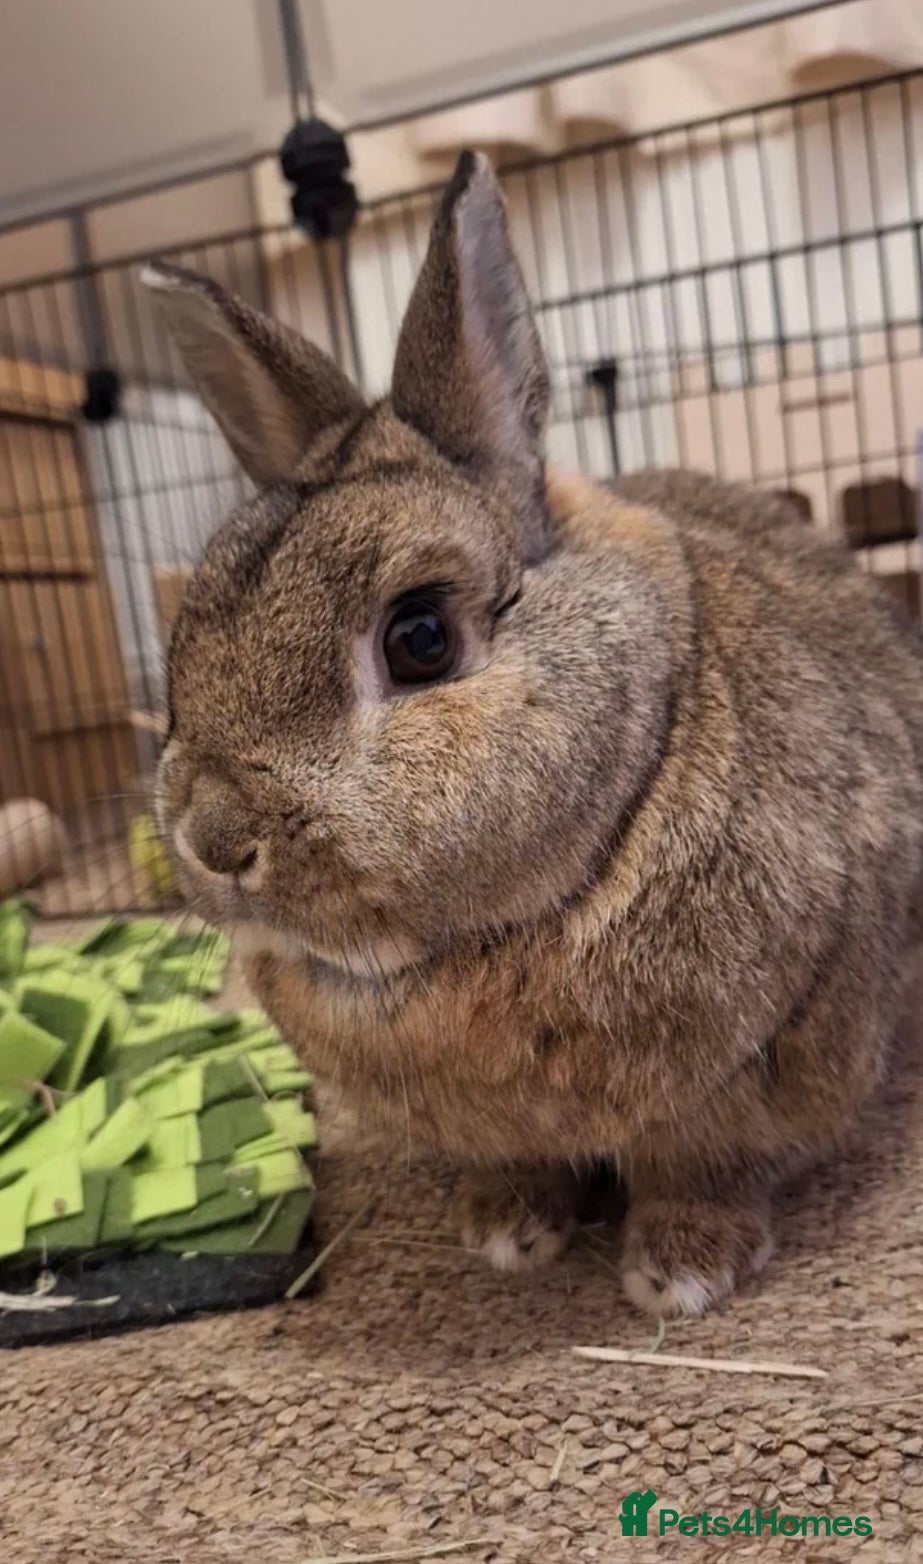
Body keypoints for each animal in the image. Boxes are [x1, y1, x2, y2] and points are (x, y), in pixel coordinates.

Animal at [145, 151, 923, 1318]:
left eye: (420, 637)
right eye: (185, 639)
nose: (214, 838)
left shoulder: (753, 1093)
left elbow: (708, 1173)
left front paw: (679, 1272)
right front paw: (504, 1235)